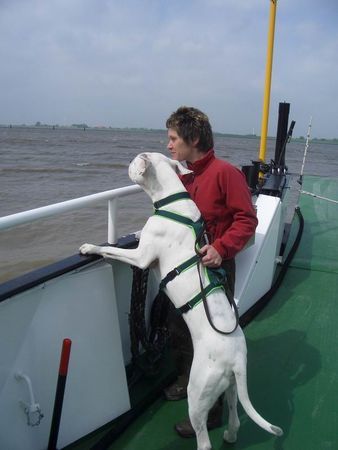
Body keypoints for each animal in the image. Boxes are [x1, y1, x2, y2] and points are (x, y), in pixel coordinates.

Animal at [80, 153, 282, 450]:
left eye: (135, 161)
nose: (126, 164)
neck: (171, 201)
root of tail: (236, 359)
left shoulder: (141, 258)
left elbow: (112, 250)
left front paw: (90, 247)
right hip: (232, 387)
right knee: (234, 415)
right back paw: (230, 435)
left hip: (198, 393)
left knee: (204, 439)